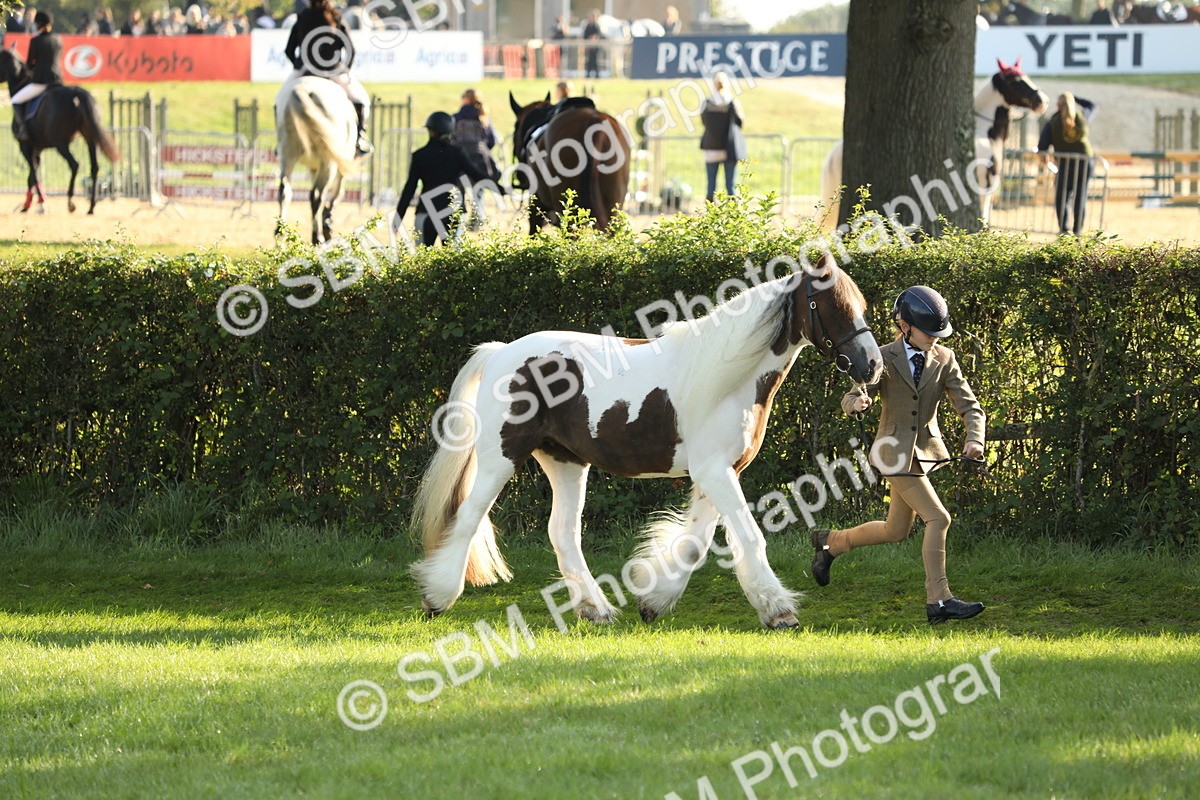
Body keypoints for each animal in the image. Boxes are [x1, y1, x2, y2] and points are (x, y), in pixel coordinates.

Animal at [0, 49, 120, 215]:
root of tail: (77, 93)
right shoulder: (37, 148)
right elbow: (31, 176)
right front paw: (28, 204)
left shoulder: (25, 146)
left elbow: (34, 174)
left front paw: (40, 201)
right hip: (89, 138)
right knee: (94, 167)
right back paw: (91, 207)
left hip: (60, 143)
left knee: (74, 164)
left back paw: (70, 202)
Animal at [274, 75, 357, 244]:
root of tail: (303, 88)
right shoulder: (338, 162)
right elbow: (336, 192)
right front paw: (327, 225)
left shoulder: (314, 168)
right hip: (328, 161)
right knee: (316, 195)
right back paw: (317, 236)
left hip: (287, 155)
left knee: (284, 191)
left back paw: (280, 233)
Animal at [411, 256, 883, 629]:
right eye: (831, 304)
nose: (872, 366)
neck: (727, 379)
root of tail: (500, 352)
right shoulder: (715, 472)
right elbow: (748, 537)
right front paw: (779, 610)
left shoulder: (720, 473)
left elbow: (694, 544)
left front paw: (653, 602)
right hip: (500, 458)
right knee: (468, 517)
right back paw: (437, 597)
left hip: (566, 463)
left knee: (562, 533)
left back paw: (597, 610)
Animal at [818, 59, 1047, 228]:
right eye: (1015, 80)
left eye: (1026, 76)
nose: (1042, 101)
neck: (985, 133)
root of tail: (837, 150)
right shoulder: (986, 184)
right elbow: (984, 219)